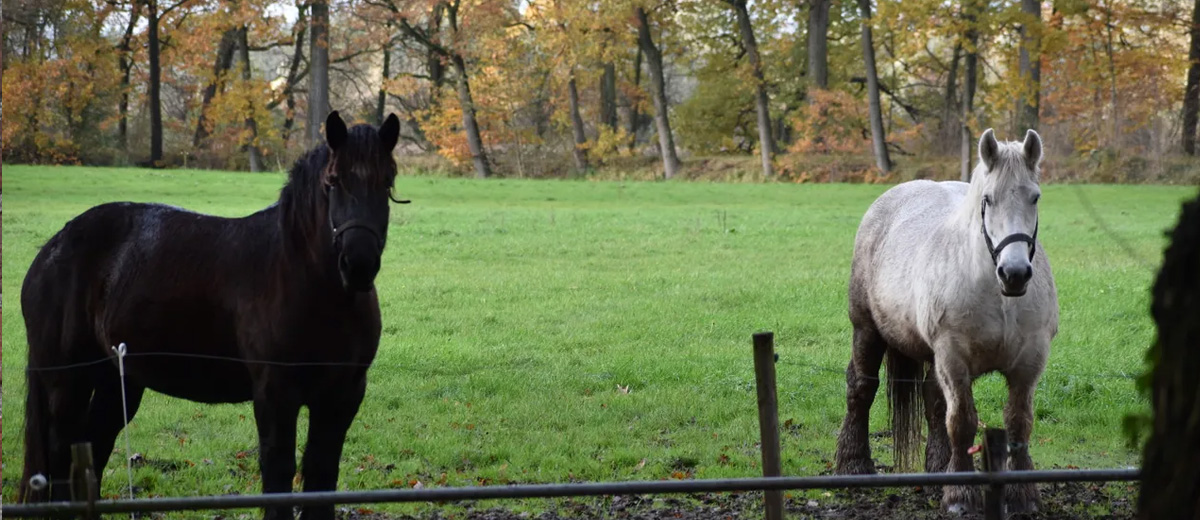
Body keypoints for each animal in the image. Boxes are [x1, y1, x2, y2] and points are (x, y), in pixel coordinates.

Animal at [18, 111, 405, 516]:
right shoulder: (275, 394)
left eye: (387, 181)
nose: (358, 264)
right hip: (66, 380)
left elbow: (321, 475)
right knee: (59, 454)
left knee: (92, 447)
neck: (306, 281)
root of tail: (52, 249)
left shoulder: (342, 396)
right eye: (333, 181)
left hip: (116, 380)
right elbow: (279, 473)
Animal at [835, 127, 1060, 511]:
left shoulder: (1029, 363)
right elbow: (962, 423)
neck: (997, 296)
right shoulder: (953, 359)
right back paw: (854, 464)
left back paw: (939, 466)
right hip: (866, 330)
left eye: (1035, 198)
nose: (1014, 273)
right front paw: (960, 495)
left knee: (932, 398)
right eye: (988, 199)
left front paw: (1022, 494)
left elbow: (1019, 424)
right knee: (861, 387)